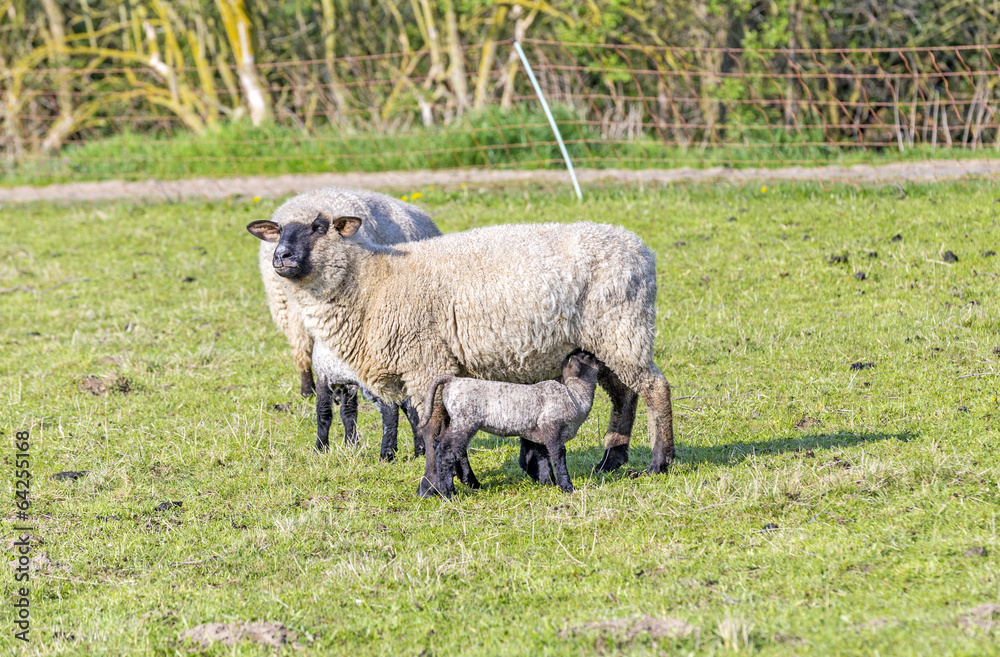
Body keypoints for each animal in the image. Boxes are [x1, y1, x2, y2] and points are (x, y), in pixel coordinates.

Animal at [420, 350, 600, 496]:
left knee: (441, 444)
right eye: (588, 357)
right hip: (465, 420)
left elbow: (542, 459)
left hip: (458, 421)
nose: (599, 357)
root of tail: (452, 381)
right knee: (447, 450)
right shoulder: (551, 426)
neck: (575, 395)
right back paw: (448, 492)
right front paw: (566, 487)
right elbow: (558, 455)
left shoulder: (539, 434)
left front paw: (548, 483)